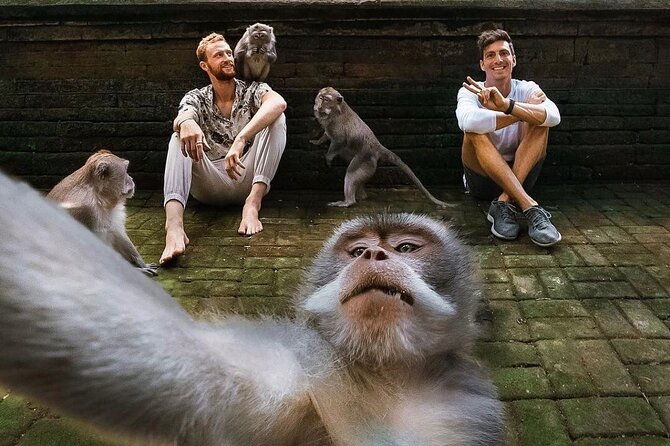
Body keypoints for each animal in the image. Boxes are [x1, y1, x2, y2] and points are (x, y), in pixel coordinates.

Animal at [0, 171, 503, 445]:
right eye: (357, 250)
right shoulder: (304, 363)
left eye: (405, 247)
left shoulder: (468, 407)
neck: (385, 377)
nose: (374, 256)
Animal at [311, 87, 456, 208]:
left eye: (326, 99)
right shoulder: (329, 126)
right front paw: (317, 142)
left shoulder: (337, 126)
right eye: (320, 96)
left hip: (365, 159)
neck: (334, 111)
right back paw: (362, 196)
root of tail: (377, 146)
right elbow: (327, 135)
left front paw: (328, 157)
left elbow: (339, 141)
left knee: (351, 174)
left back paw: (348, 202)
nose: (319, 104)